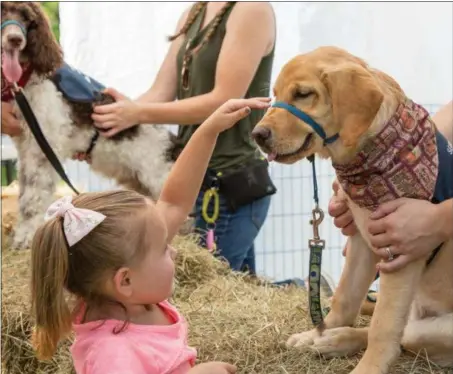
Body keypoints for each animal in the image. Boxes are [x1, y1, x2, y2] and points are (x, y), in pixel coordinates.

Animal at [251, 47, 452, 374]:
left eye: (303, 94)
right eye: (276, 94)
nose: (257, 134)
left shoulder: (399, 251)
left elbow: (383, 326)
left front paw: (368, 367)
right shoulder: (361, 240)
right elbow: (345, 298)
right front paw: (321, 331)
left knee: (403, 335)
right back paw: (330, 339)